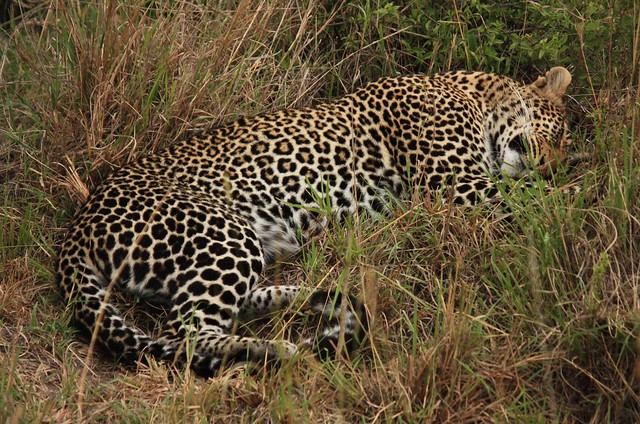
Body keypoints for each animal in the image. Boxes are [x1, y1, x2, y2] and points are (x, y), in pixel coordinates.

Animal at [56, 66, 576, 378]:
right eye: (562, 135)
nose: (550, 166)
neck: (473, 95)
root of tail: (80, 221)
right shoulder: (453, 181)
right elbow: (535, 200)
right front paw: (575, 200)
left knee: (228, 310)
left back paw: (319, 299)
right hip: (221, 231)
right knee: (190, 334)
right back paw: (283, 350)